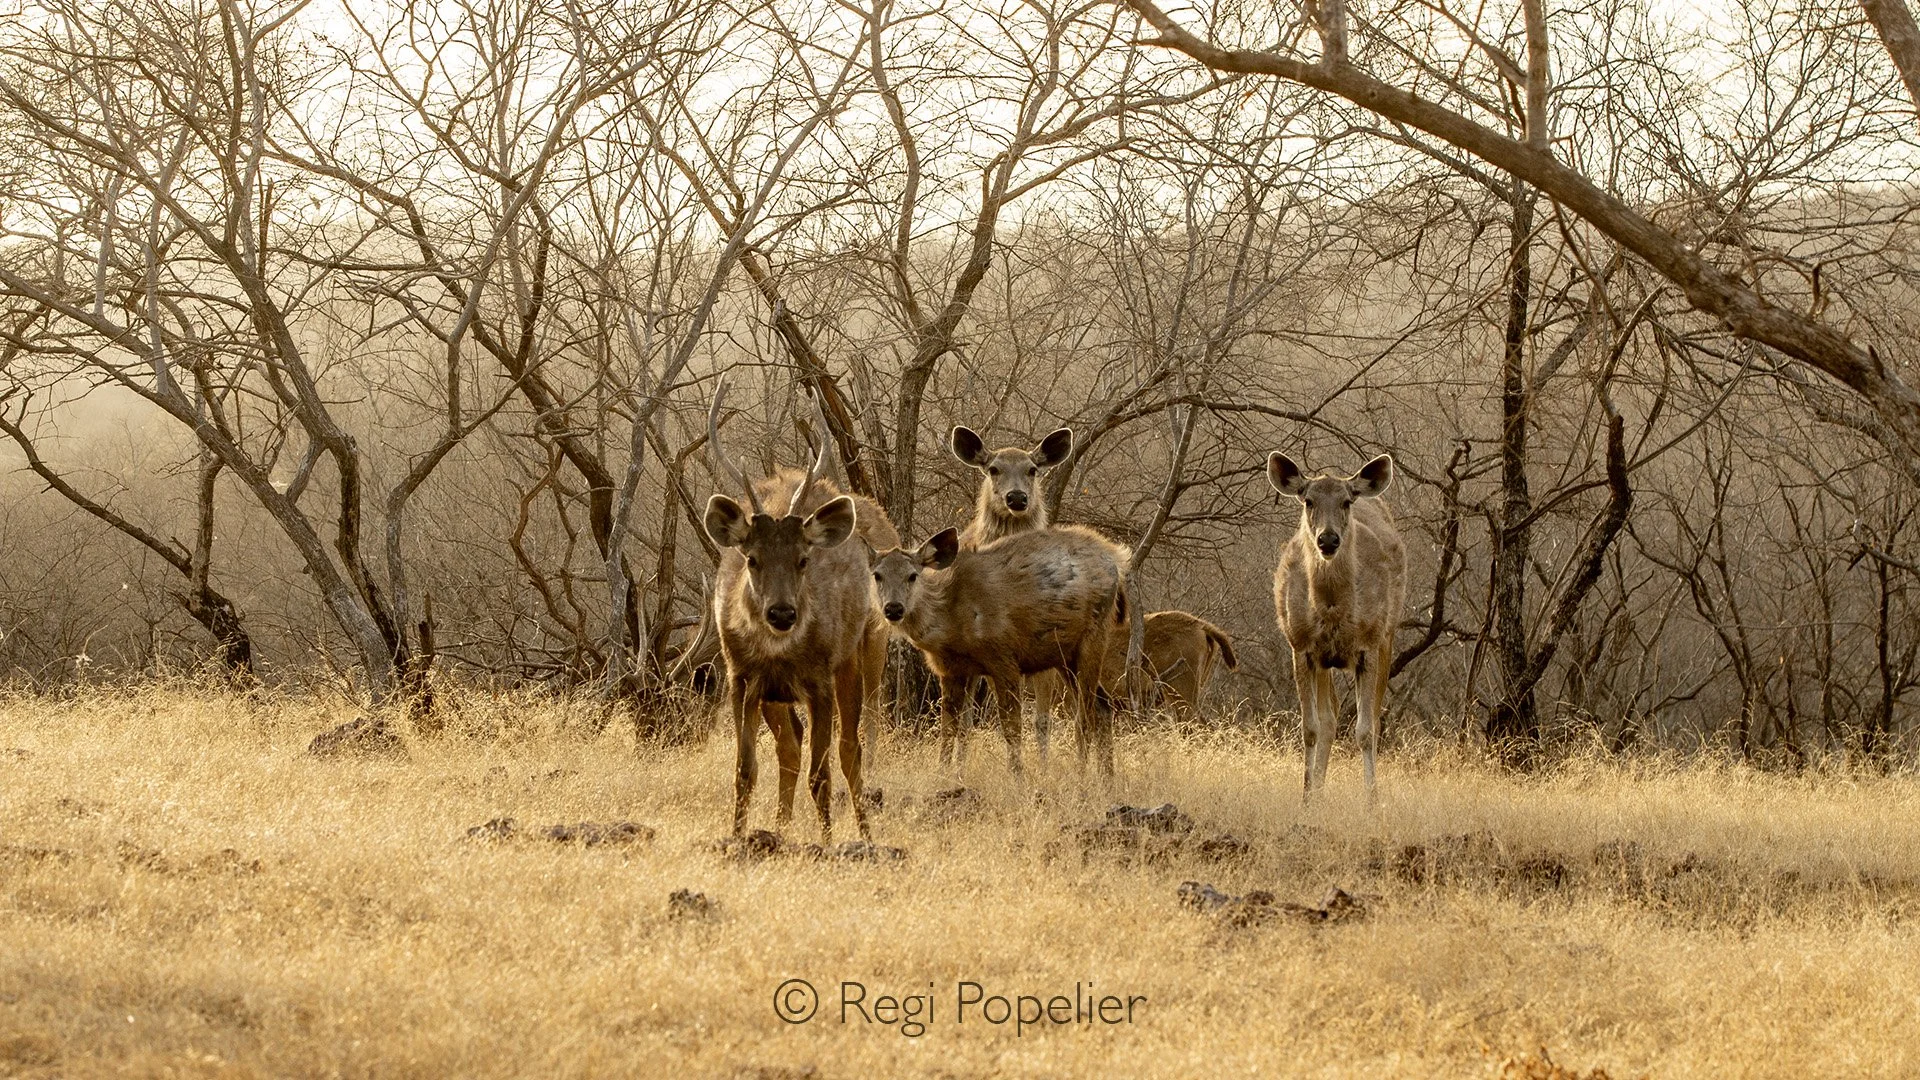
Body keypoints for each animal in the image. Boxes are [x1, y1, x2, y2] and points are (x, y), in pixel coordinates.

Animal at [705, 377, 897, 840]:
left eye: (803, 559)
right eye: (752, 559)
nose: (781, 614)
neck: (780, 651)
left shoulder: (820, 678)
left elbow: (822, 773)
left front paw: (827, 842)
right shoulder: (741, 677)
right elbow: (745, 770)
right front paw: (737, 837)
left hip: (866, 651)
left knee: (853, 747)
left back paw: (864, 833)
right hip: (777, 693)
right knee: (790, 746)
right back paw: (781, 825)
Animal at [868, 524, 1128, 776]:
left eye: (912, 576)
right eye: (877, 575)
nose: (893, 608)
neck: (951, 616)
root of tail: (1116, 561)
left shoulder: (1004, 658)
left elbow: (1011, 728)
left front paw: (1017, 778)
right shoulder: (951, 670)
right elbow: (948, 730)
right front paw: (942, 776)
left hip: (1093, 636)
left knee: (1085, 718)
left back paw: (1082, 778)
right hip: (1065, 656)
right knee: (1103, 708)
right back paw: (1106, 780)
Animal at [1268, 452, 1407, 803]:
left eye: (1346, 501)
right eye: (1308, 501)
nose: (1328, 539)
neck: (1332, 611)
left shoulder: (1369, 644)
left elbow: (1366, 730)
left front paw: (1372, 800)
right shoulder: (1301, 646)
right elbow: (1311, 728)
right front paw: (1306, 797)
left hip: (1387, 636)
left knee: (1372, 718)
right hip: (1323, 660)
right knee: (1329, 718)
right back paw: (1316, 790)